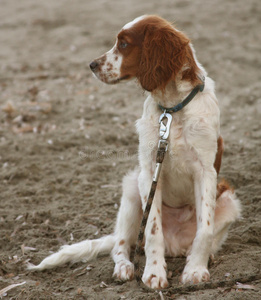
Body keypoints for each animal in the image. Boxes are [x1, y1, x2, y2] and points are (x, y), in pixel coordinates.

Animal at [28, 15, 240, 290]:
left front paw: (195, 270)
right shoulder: (148, 171)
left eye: (125, 44)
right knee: (120, 245)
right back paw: (125, 267)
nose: (92, 65)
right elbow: (152, 231)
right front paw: (154, 273)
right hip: (131, 189)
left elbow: (204, 229)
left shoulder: (206, 172)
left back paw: (201, 256)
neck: (172, 109)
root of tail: (175, 245)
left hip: (228, 201)